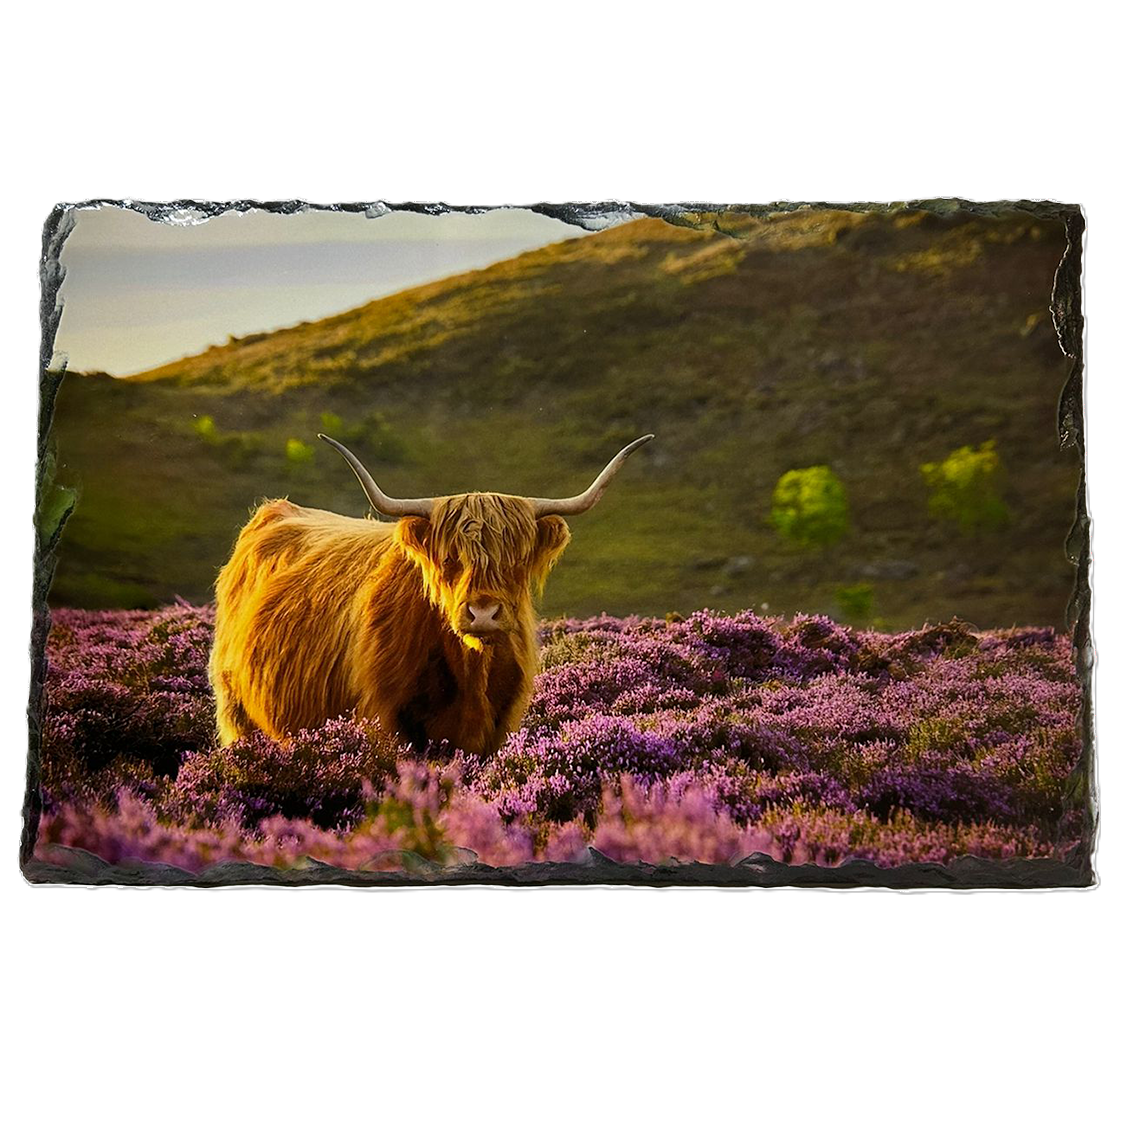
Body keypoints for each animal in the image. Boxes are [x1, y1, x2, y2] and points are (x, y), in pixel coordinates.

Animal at [208, 432, 654, 754]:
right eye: (450, 557)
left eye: (516, 559)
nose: (483, 613)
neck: (472, 671)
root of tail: (275, 509)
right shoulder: (385, 722)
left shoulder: (498, 727)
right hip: (236, 713)